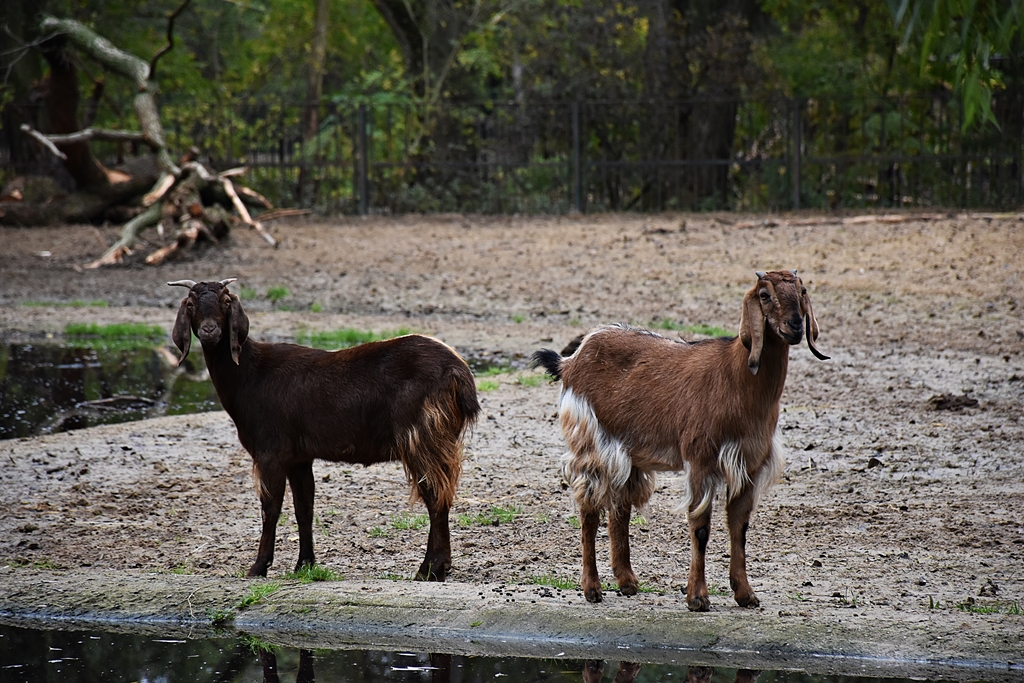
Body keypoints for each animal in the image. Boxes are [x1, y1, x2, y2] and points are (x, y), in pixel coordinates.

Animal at [169, 278, 479, 580]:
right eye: (191, 304)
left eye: (225, 302)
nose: (209, 330)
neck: (249, 375)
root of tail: (460, 375)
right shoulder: (299, 457)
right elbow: (304, 507)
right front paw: (304, 564)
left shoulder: (271, 450)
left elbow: (271, 508)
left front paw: (258, 567)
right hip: (438, 438)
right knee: (442, 493)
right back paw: (436, 567)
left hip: (421, 436)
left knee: (435, 495)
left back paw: (430, 569)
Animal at [532, 270, 828, 610]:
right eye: (764, 295)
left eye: (802, 291)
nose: (795, 326)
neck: (735, 379)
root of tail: (570, 361)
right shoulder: (701, 459)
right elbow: (700, 528)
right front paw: (698, 597)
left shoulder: (749, 464)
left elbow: (739, 527)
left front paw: (745, 594)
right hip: (590, 442)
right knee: (589, 508)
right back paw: (592, 588)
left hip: (627, 452)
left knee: (620, 509)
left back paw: (627, 582)